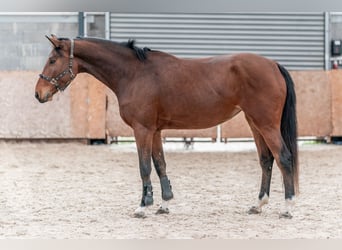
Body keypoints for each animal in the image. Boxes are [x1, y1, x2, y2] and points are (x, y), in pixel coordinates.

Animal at [33, 34, 298, 219]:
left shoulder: (142, 130)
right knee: (266, 160)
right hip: (255, 124)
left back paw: (288, 207)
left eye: (52, 60)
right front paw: (164, 204)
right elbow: (160, 164)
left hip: (266, 125)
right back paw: (258, 204)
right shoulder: (155, 131)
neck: (134, 73)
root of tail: (273, 64)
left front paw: (143, 206)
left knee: (283, 158)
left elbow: (144, 167)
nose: (38, 93)